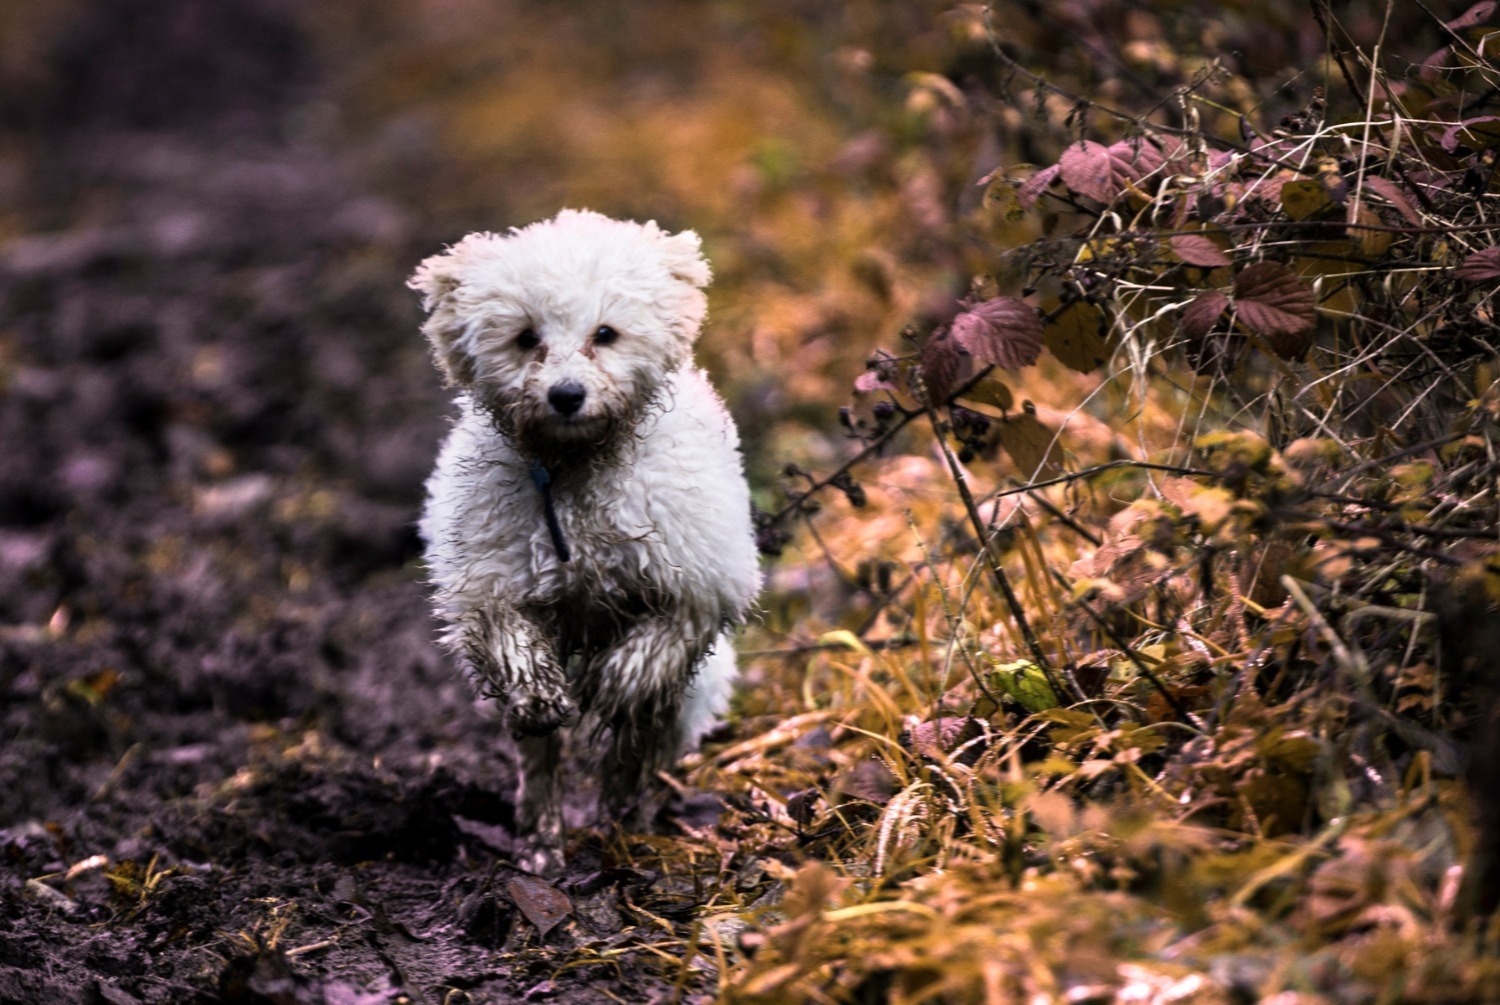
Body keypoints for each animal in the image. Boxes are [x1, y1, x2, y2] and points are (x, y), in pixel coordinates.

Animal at [411, 210, 762, 876]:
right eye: (526, 337)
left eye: (606, 333)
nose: (566, 394)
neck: (576, 469)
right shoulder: (492, 576)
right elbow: (511, 639)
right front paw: (539, 691)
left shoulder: (700, 570)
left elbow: (660, 642)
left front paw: (617, 681)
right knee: (542, 762)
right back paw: (543, 841)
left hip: (691, 692)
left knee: (641, 743)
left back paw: (626, 815)